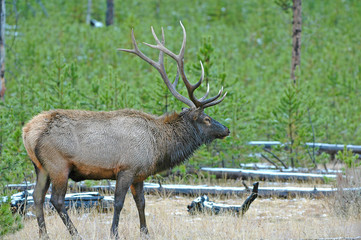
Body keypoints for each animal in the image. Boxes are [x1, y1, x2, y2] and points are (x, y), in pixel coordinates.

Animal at [21, 22, 228, 238]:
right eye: (207, 119)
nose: (226, 129)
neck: (158, 146)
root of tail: (27, 132)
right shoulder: (126, 168)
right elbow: (119, 203)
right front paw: (114, 233)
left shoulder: (139, 174)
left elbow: (141, 203)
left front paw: (145, 232)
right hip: (58, 165)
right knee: (57, 200)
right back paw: (75, 234)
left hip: (40, 167)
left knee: (37, 197)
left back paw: (44, 234)